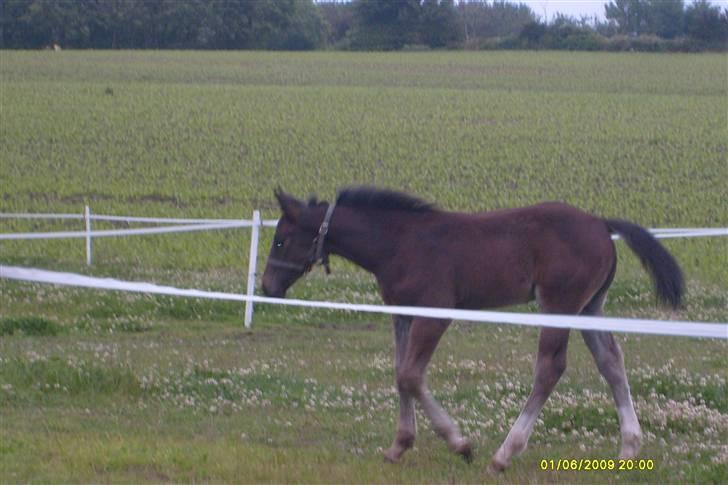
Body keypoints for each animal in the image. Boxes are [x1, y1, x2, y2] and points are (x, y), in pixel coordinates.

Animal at [262, 186, 684, 472]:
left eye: (281, 239)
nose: (266, 287)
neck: (399, 243)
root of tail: (600, 223)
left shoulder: (435, 314)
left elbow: (412, 375)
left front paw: (460, 444)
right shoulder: (401, 314)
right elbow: (400, 374)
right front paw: (400, 445)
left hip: (560, 305)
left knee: (550, 368)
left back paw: (503, 455)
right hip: (588, 307)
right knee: (611, 361)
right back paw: (629, 446)